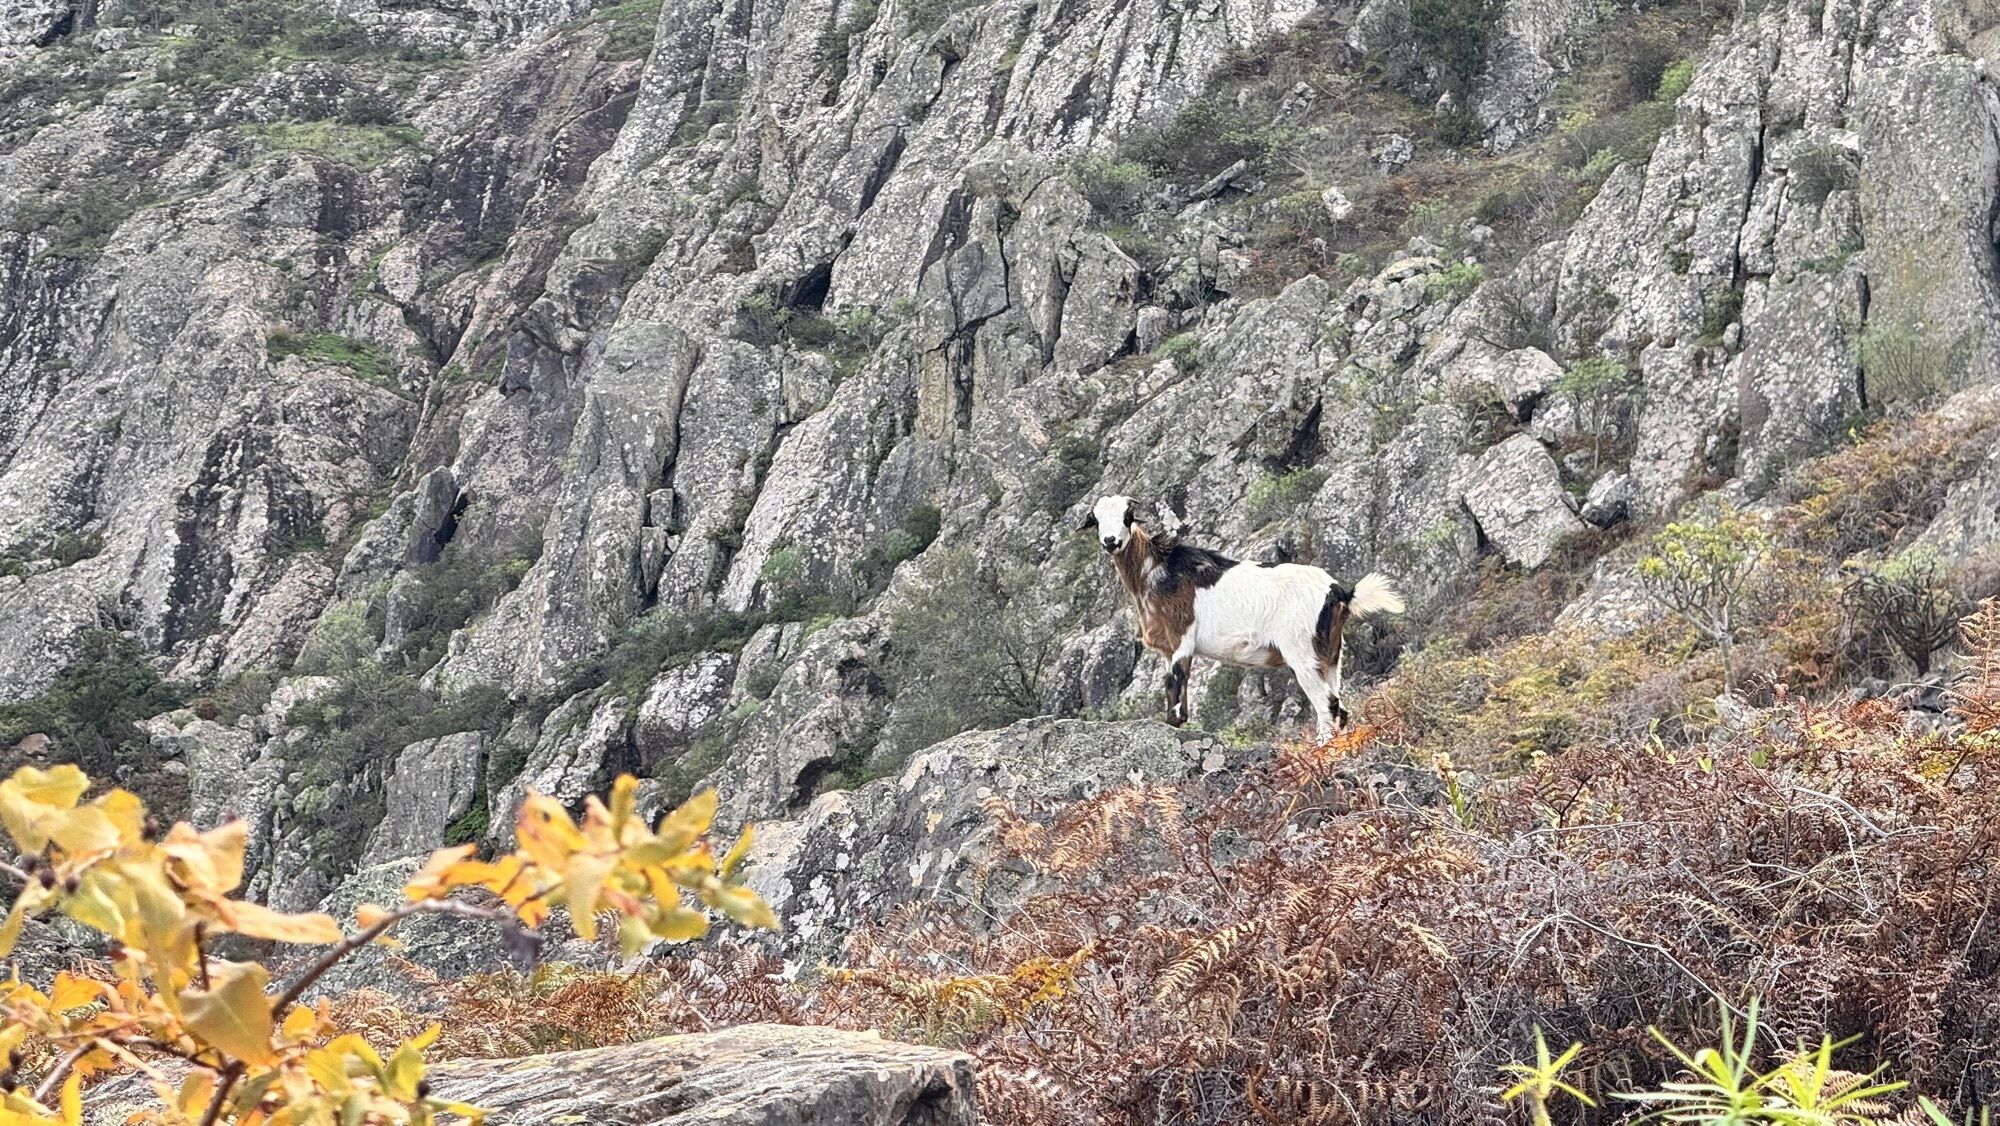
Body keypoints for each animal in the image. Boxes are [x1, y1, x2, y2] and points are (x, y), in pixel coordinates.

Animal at [1079, 494, 1405, 737]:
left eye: (1127, 515)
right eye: (1096, 518)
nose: (1111, 541)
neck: (1159, 568)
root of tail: (1338, 592)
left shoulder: (1181, 635)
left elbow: (1176, 681)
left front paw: (1172, 723)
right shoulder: (1168, 647)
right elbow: (1177, 685)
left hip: (1301, 652)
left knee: (1328, 703)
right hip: (1332, 654)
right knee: (1340, 704)